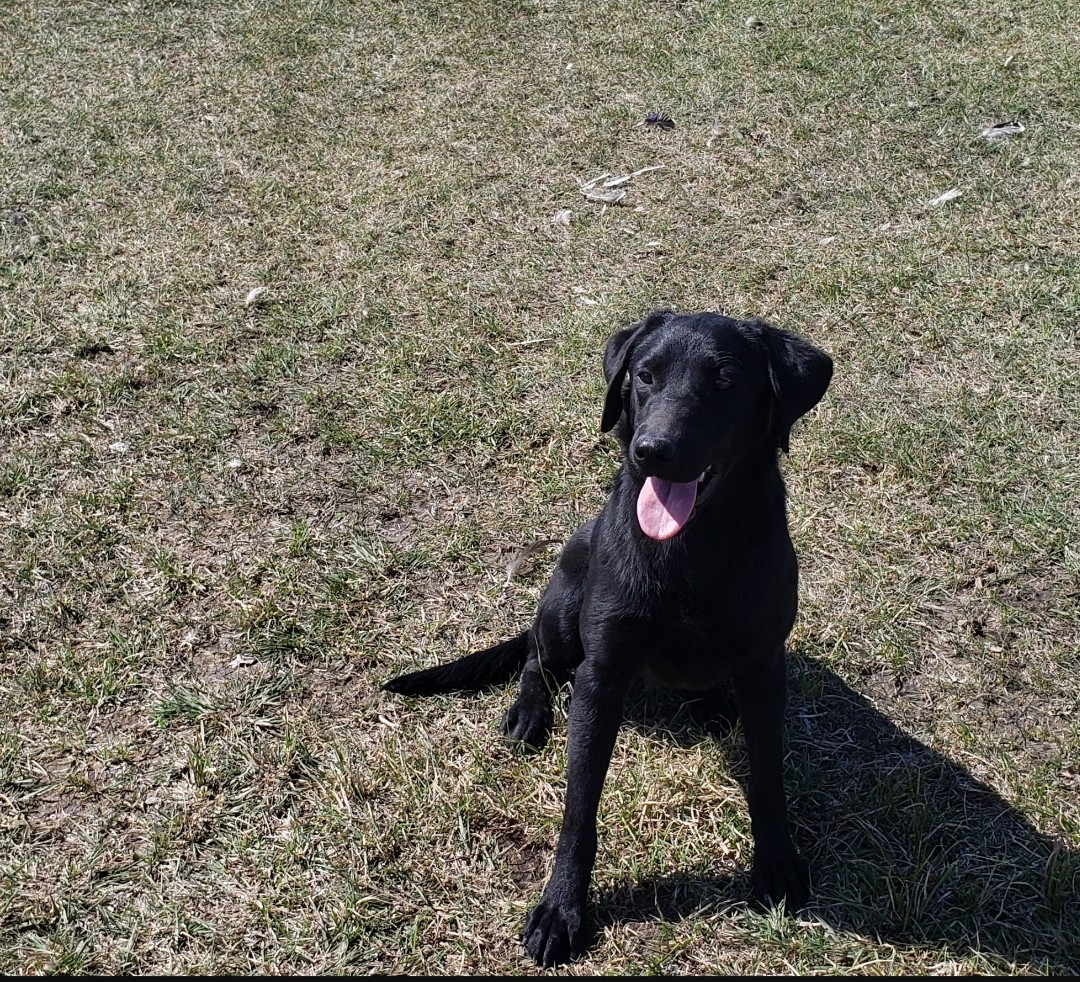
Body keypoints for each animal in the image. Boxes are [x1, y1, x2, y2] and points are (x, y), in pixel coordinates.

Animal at [384, 308, 829, 963]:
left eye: (724, 381)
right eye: (645, 376)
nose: (653, 452)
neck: (691, 550)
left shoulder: (763, 666)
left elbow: (767, 773)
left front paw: (776, 861)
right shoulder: (602, 674)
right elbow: (579, 806)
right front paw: (562, 907)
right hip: (564, 603)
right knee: (535, 656)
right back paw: (528, 712)